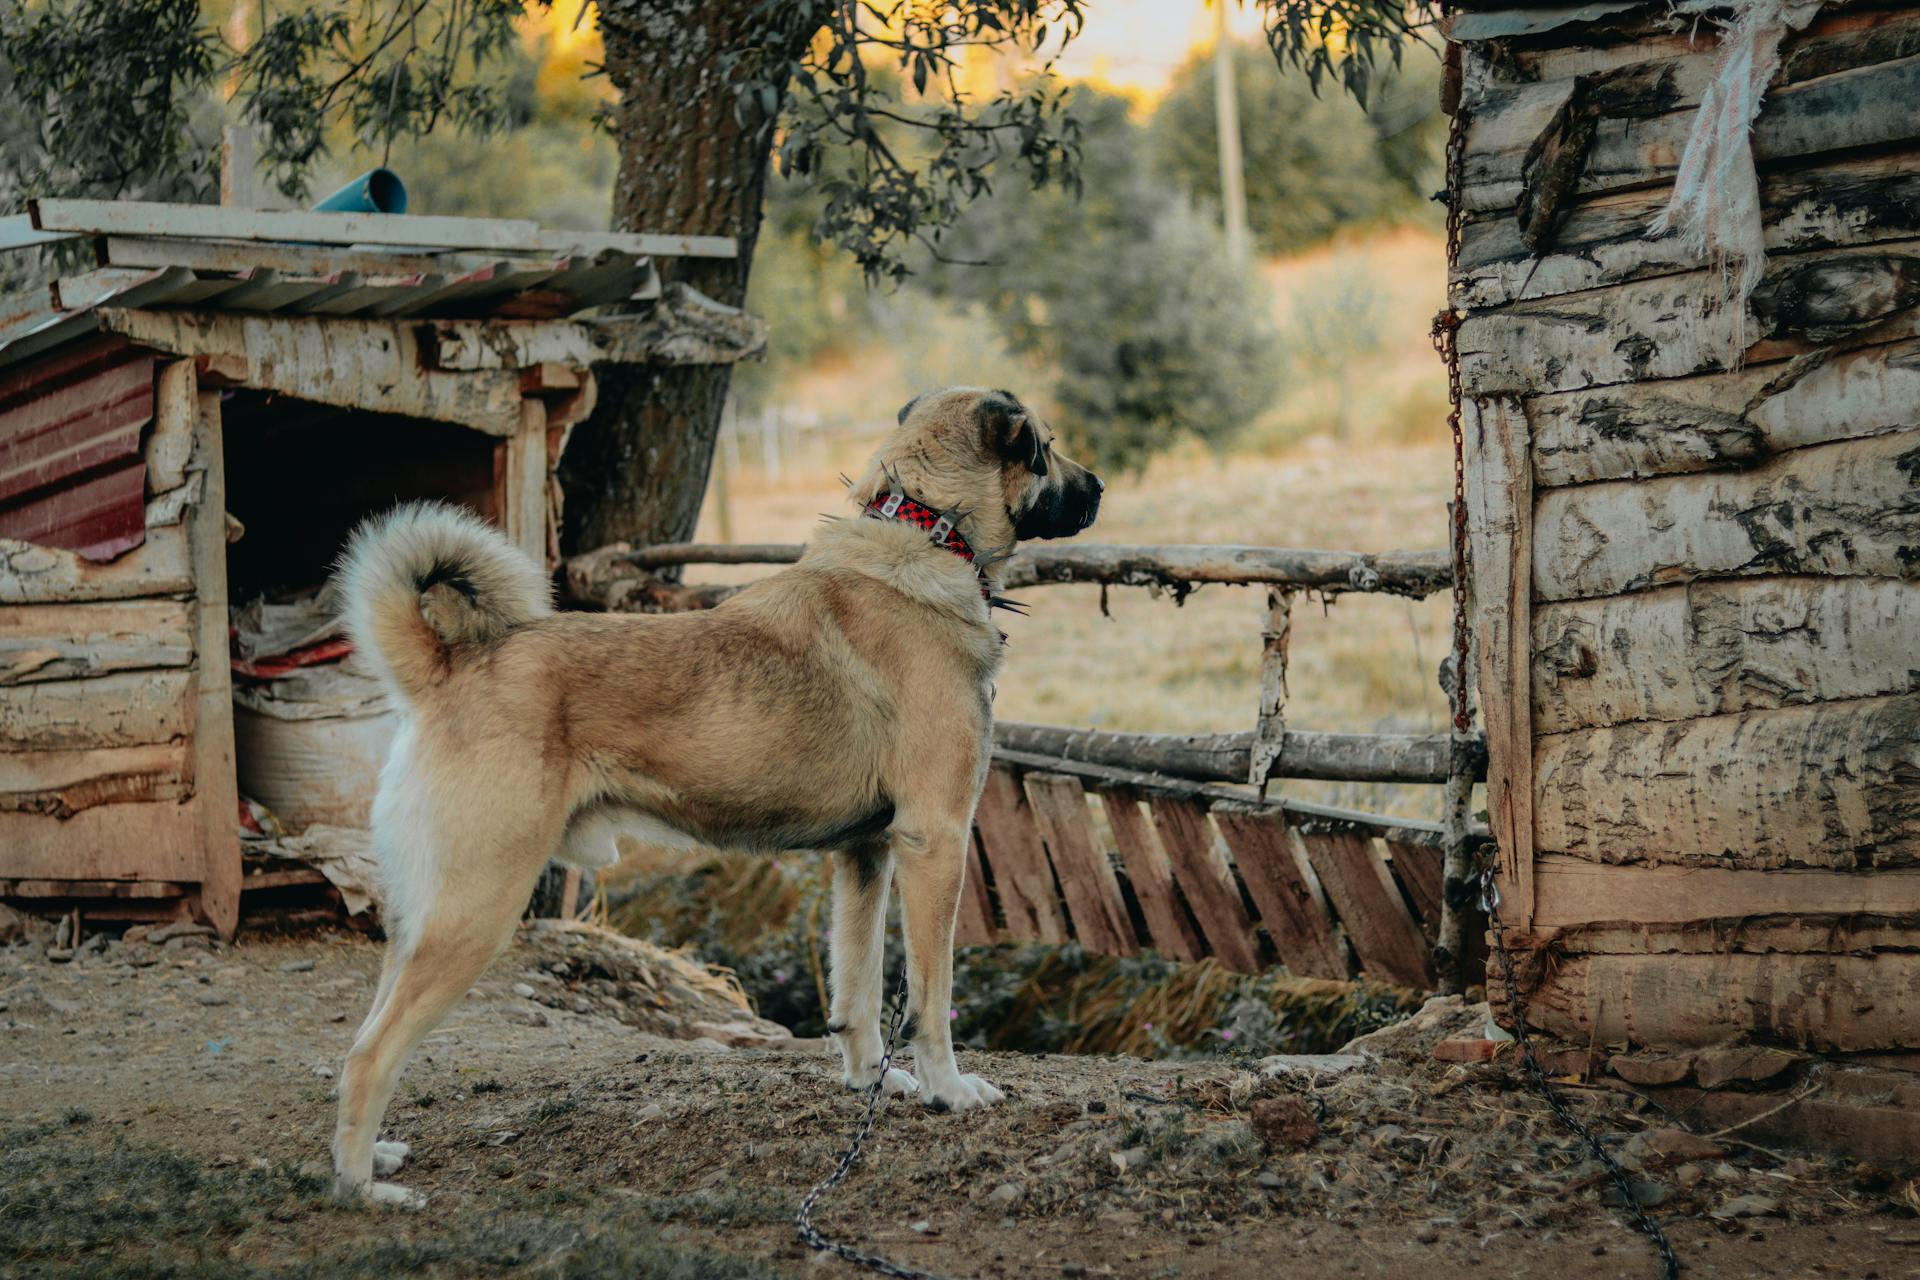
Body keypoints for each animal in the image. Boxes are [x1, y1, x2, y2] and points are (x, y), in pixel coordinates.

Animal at [326, 385, 1098, 1205]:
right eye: (1045, 446)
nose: (1101, 488)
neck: (927, 531)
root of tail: (446, 668)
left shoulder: (865, 857)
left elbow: (855, 987)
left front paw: (868, 1081)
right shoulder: (935, 842)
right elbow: (928, 997)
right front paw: (949, 1090)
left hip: (425, 916)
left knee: (361, 1040)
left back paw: (370, 1160)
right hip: (474, 911)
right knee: (371, 1054)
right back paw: (361, 1189)